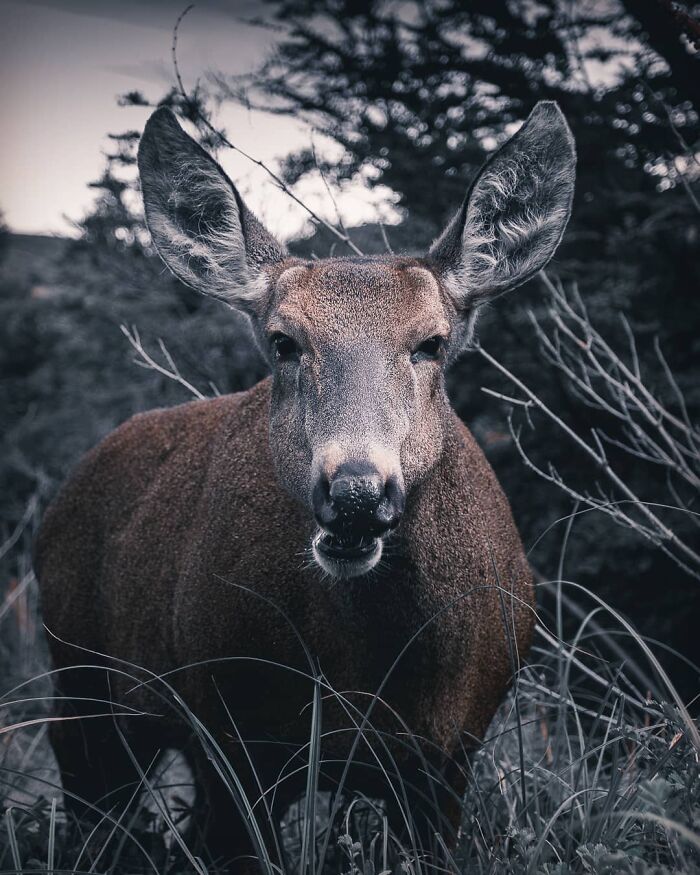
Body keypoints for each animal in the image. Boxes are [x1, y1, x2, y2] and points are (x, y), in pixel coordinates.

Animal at [34, 101, 575, 872]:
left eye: (432, 342)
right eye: (284, 341)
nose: (355, 493)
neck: (371, 677)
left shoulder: (449, 758)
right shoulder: (235, 739)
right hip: (80, 674)